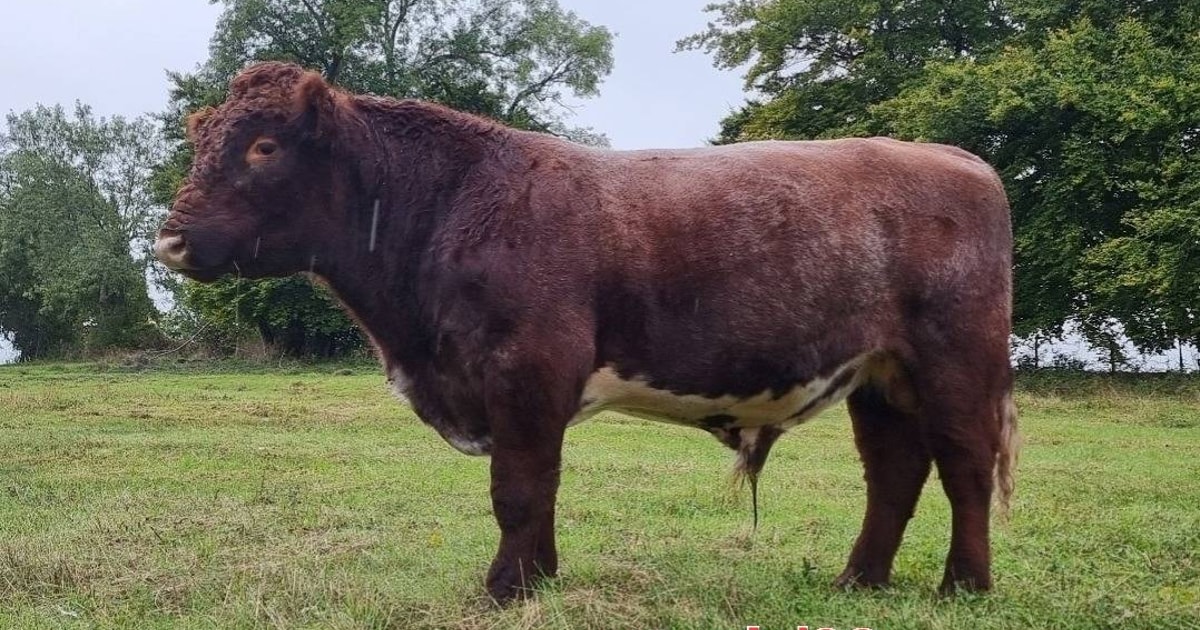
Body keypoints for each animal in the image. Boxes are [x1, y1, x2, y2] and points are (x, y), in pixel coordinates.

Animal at [155, 61, 1018, 602]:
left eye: (263, 145)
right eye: (203, 142)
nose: (170, 238)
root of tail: (955, 157)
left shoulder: (527, 369)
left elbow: (517, 489)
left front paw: (503, 590)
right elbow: (541, 488)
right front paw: (539, 581)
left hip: (956, 358)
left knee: (964, 466)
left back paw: (964, 586)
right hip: (878, 374)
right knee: (895, 471)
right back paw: (858, 581)